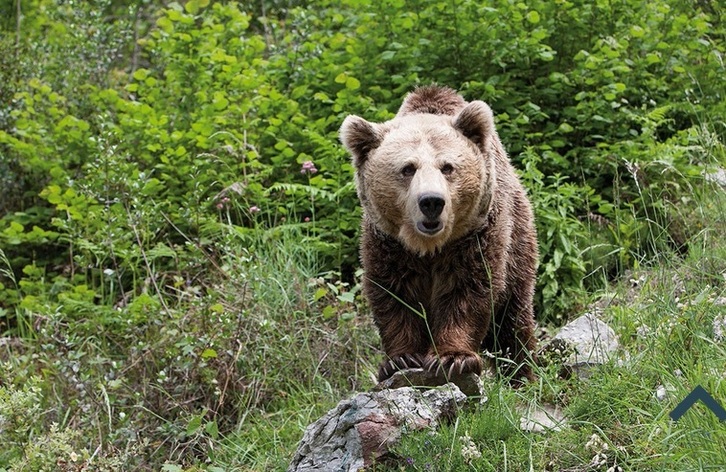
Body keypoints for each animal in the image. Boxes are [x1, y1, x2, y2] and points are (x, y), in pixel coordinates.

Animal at [339, 85, 538, 385]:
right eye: (407, 168)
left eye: (447, 167)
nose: (431, 201)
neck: (429, 246)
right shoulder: (388, 243)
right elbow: (394, 295)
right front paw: (400, 359)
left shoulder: (476, 236)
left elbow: (469, 290)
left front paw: (453, 357)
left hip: (519, 241)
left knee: (512, 320)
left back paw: (521, 374)